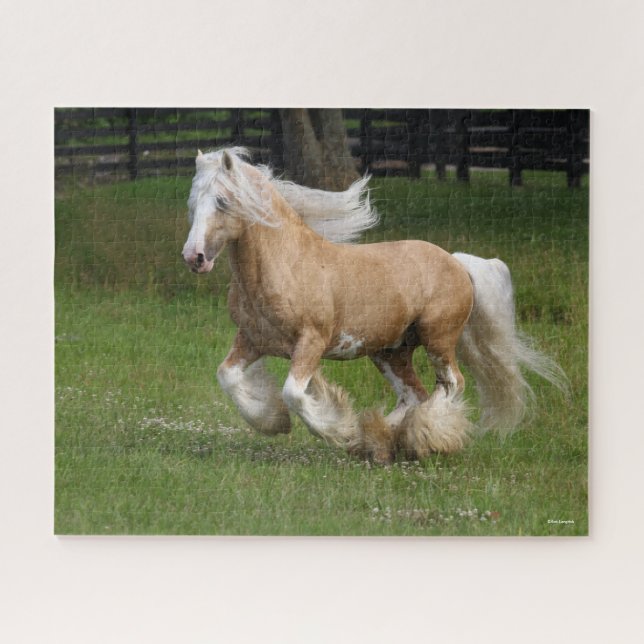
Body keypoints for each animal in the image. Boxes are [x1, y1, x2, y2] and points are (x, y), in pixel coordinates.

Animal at [182, 147, 566, 463]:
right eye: (192, 203)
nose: (194, 257)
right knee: (414, 395)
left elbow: (293, 392)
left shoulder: (311, 342)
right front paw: (274, 422)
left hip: (438, 339)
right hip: (390, 352)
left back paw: (424, 439)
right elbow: (228, 377)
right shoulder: (251, 340)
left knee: (451, 385)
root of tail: (457, 262)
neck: (287, 265)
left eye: (222, 201)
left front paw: (336, 430)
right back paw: (383, 441)